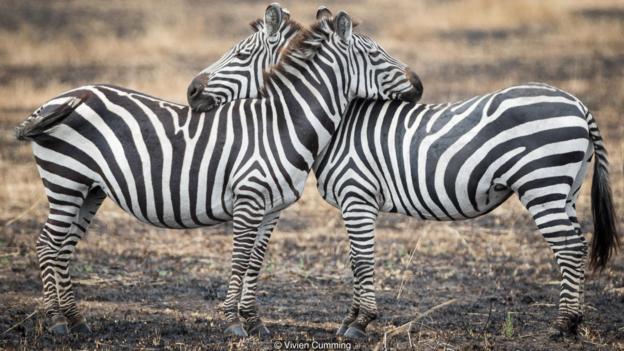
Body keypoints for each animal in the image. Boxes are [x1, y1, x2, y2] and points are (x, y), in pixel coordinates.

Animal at [13, 7, 420, 338]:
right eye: (375, 54)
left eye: (240, 54)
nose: (418, 85)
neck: (281, 123)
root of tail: (59, 98)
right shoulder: (249, 198)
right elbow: (239, 259)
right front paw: (232, 322)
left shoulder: (273, 207)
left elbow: (255, 261)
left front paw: (255, 322)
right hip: (65, 180)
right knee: (47, 244)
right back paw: (57, 321)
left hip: (89, 189)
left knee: (63, 247)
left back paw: (76, 320)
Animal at [188, 6, 616, 340]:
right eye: (376, 53)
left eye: (240, 53)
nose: (191, 91)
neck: (338, 123)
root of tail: (578, 104)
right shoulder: (356, 202)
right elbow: (356, 259)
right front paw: (351, 319)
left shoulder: (357, 195)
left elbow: (361, 260)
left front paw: (359, 324)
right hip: (566, 188)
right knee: (577, 244)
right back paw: (574, 323)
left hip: (542, 184)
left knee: (569, 247)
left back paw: (563, 325)